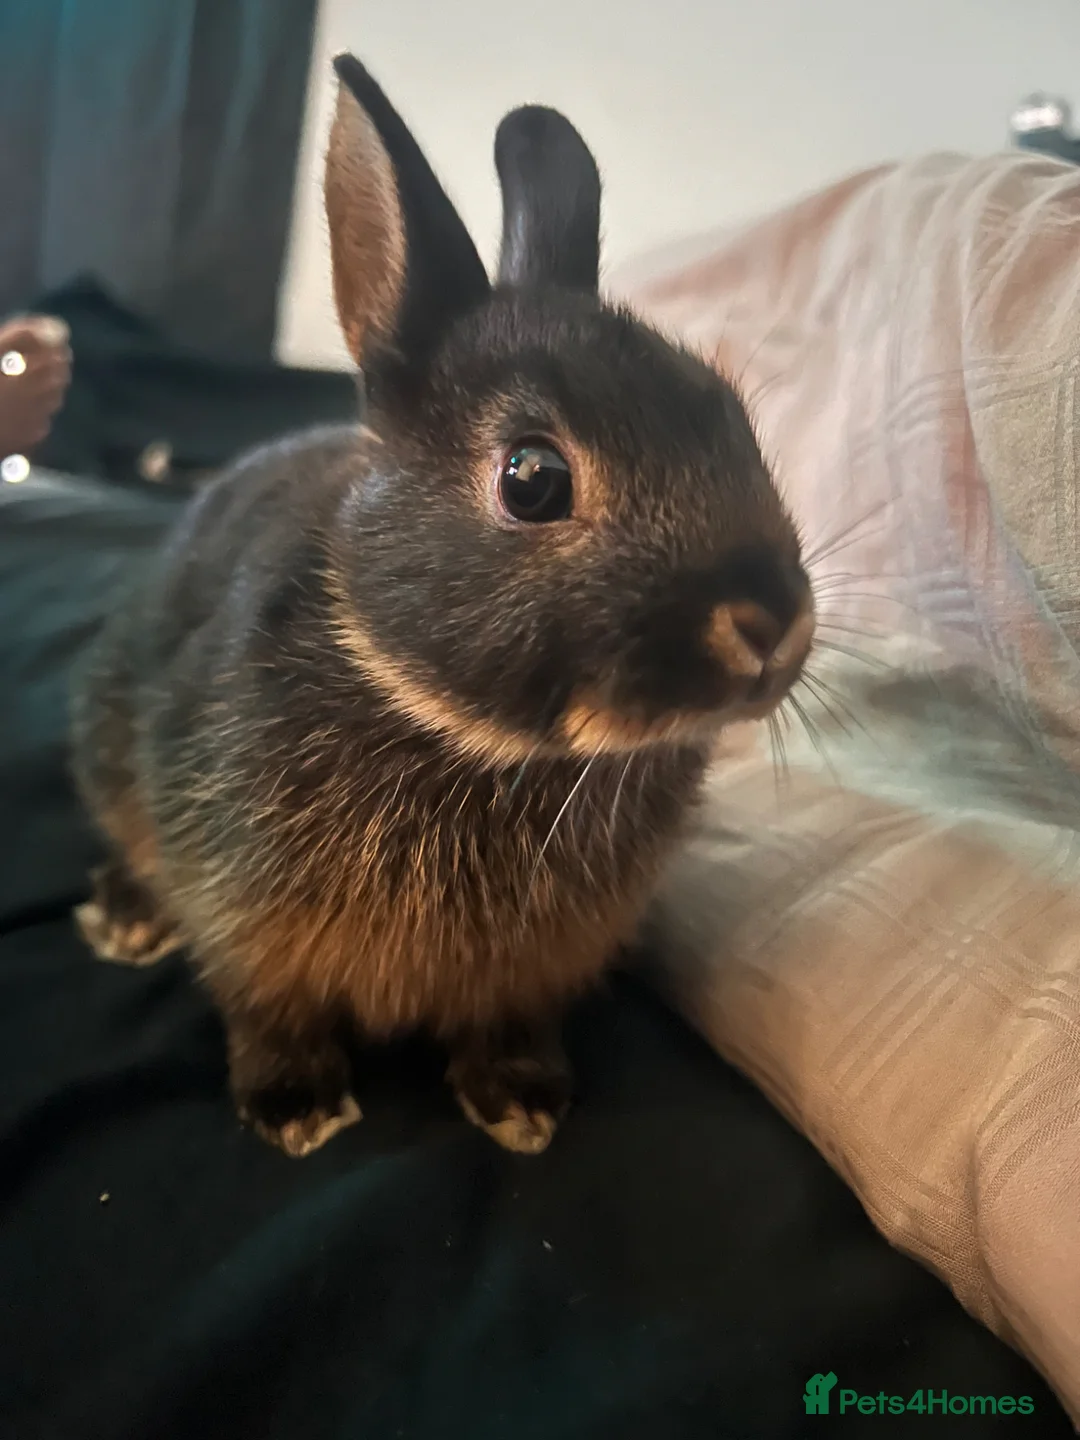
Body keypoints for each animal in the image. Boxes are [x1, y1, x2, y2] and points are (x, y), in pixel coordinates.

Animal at [71, 53, 815, 1158]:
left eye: (731, 418)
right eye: (533, 479)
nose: (770, 622)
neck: (477, 742)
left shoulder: (538, 970)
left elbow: (508, 1025)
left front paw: (523, 1105)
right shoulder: (245, 918)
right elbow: (266, 1009)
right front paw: (297, 1109)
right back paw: (126, 919)